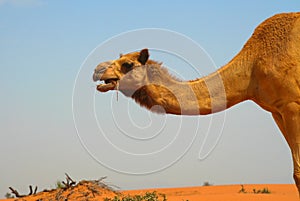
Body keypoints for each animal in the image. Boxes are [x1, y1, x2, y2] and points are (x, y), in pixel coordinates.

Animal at [92, 12, 300, 195]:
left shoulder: (292, 105)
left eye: (127, 64)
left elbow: (297, 172)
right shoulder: (276, 111)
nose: (97, 70)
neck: (252, 67)